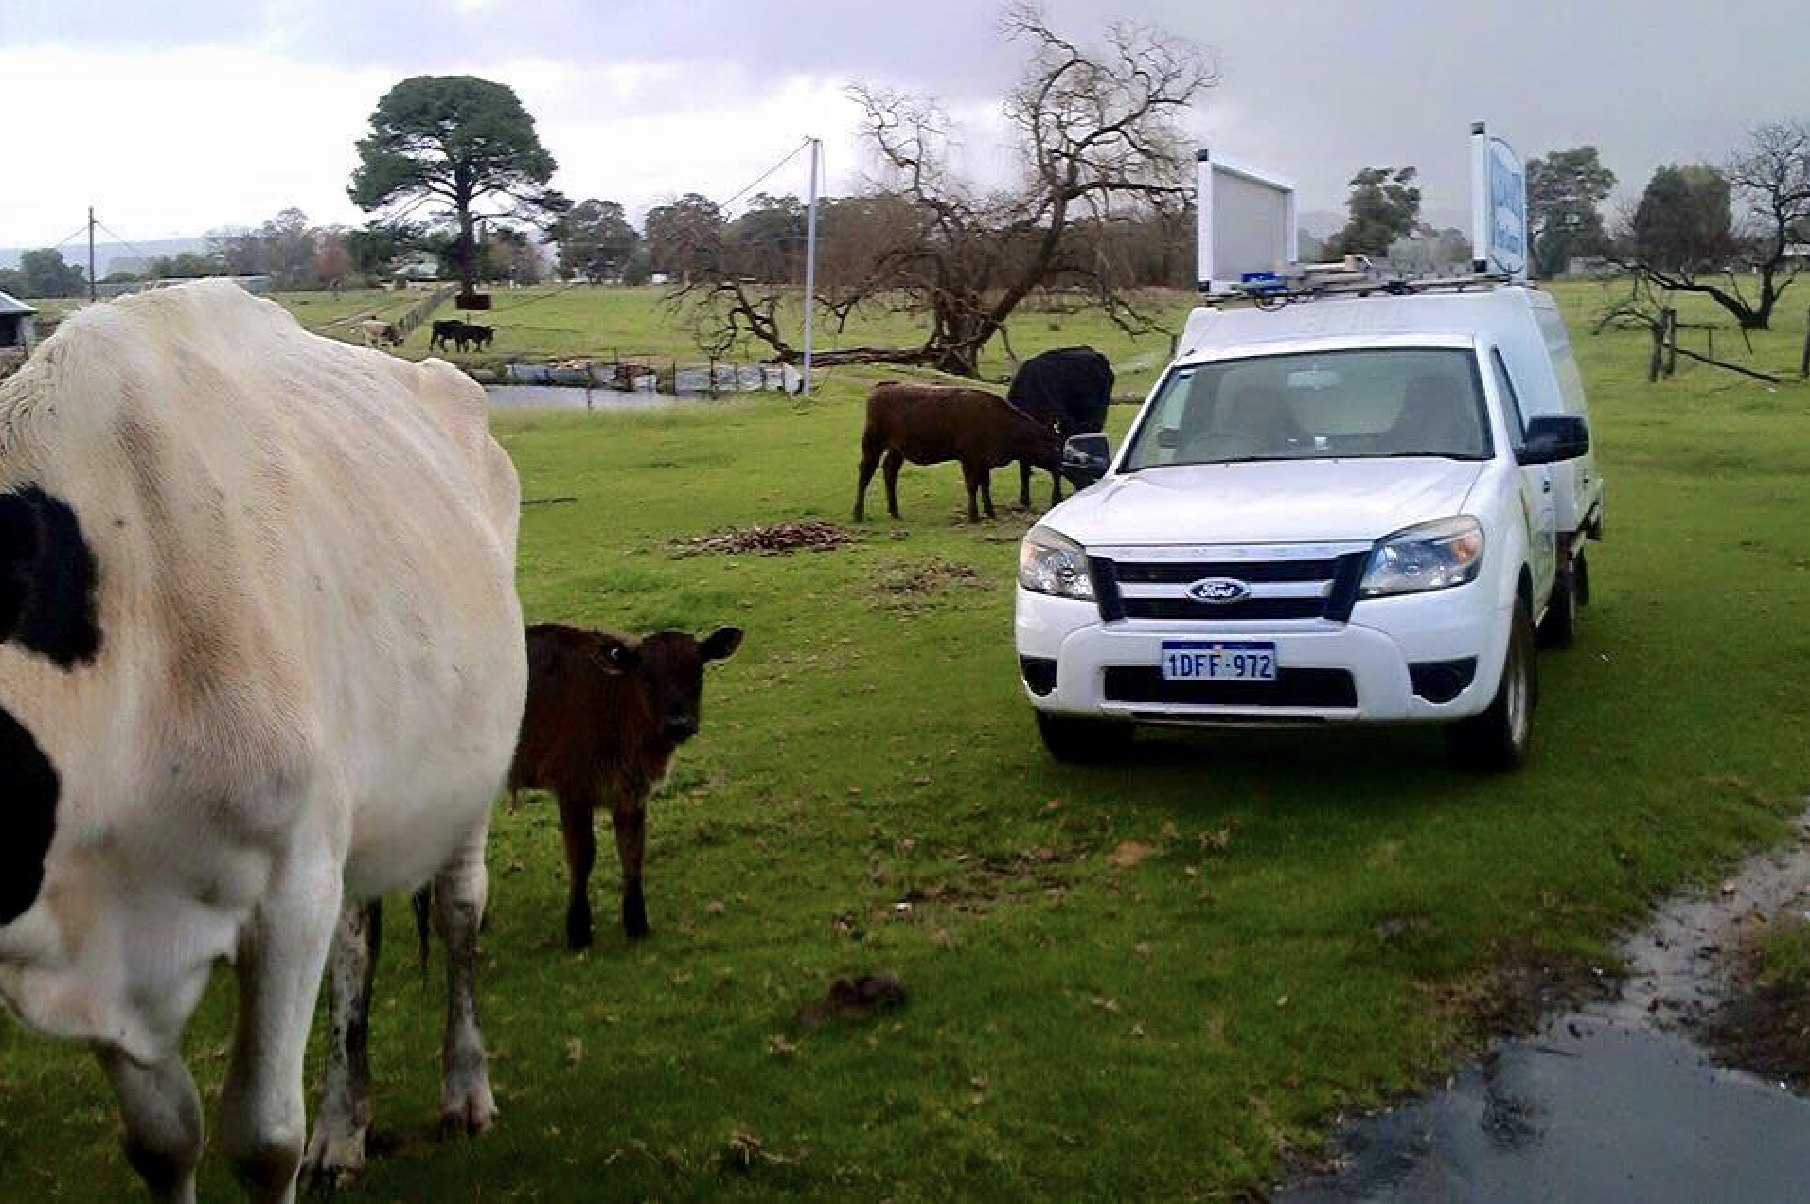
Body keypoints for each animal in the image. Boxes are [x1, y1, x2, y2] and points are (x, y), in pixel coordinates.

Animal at [0, 280, 527, 1200]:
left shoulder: (288, 888)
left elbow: (263, 1141)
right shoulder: (94, 937)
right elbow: (165, 1141)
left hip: (464, 780)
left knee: (459, 912)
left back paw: (465, 1090)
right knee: (356, 943)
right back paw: (345, 1126)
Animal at [505, 623, 743, 949]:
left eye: (698, 672)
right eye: (646, 677)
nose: (679, 724)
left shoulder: (631, 792)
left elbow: (632, 852)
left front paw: (636, 923)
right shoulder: (571, 786)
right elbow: (582, 857)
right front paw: (578, 929)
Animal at [853, 382, 1063, 523]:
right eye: (1055, 447)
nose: (1060, 466)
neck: (998, 421)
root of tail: (883, 388)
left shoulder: (983, 461)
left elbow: (985, 484)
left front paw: (990, 512)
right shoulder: (969, 459)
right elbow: (972, 486)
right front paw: (974, 515)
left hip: (896, 450)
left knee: (890, 472)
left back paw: (895, 512)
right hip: (872, 445)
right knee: (865, 474)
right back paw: (858, 513)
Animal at [1006, 346, 1113, 508]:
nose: (1088, 483)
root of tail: (1091, 350)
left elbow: (1054, 471)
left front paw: (1056, 498)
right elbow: (1024, 465)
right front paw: (1024, 499)